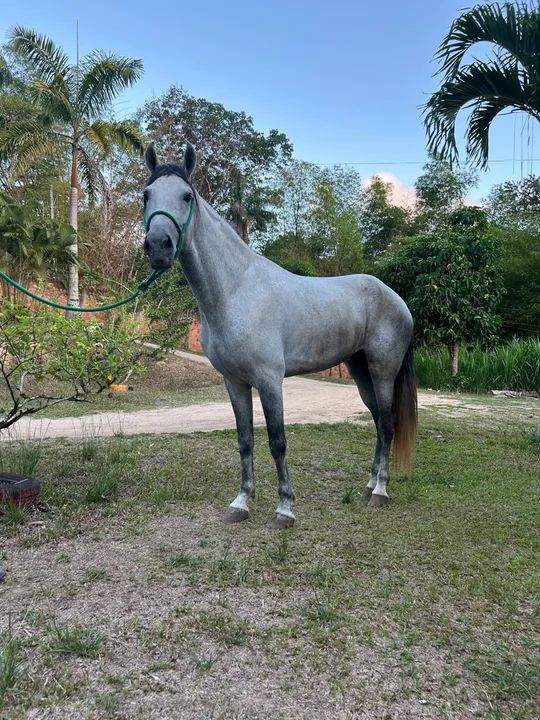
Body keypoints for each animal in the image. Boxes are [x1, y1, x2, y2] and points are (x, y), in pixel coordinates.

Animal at [142, 142, 417, 528]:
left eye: (186, 196)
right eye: (146, 195)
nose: (158, 246)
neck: (236, 291)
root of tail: (397, 299)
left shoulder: (270, 380)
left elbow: (277, 440)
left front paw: (284, 508)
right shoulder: (234, 381)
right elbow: (245, 440)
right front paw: (241, 502)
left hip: (382, 371)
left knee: (388, 425)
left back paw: (380, 492)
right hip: (360, 371)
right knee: (379, 422)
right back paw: (368, 486)